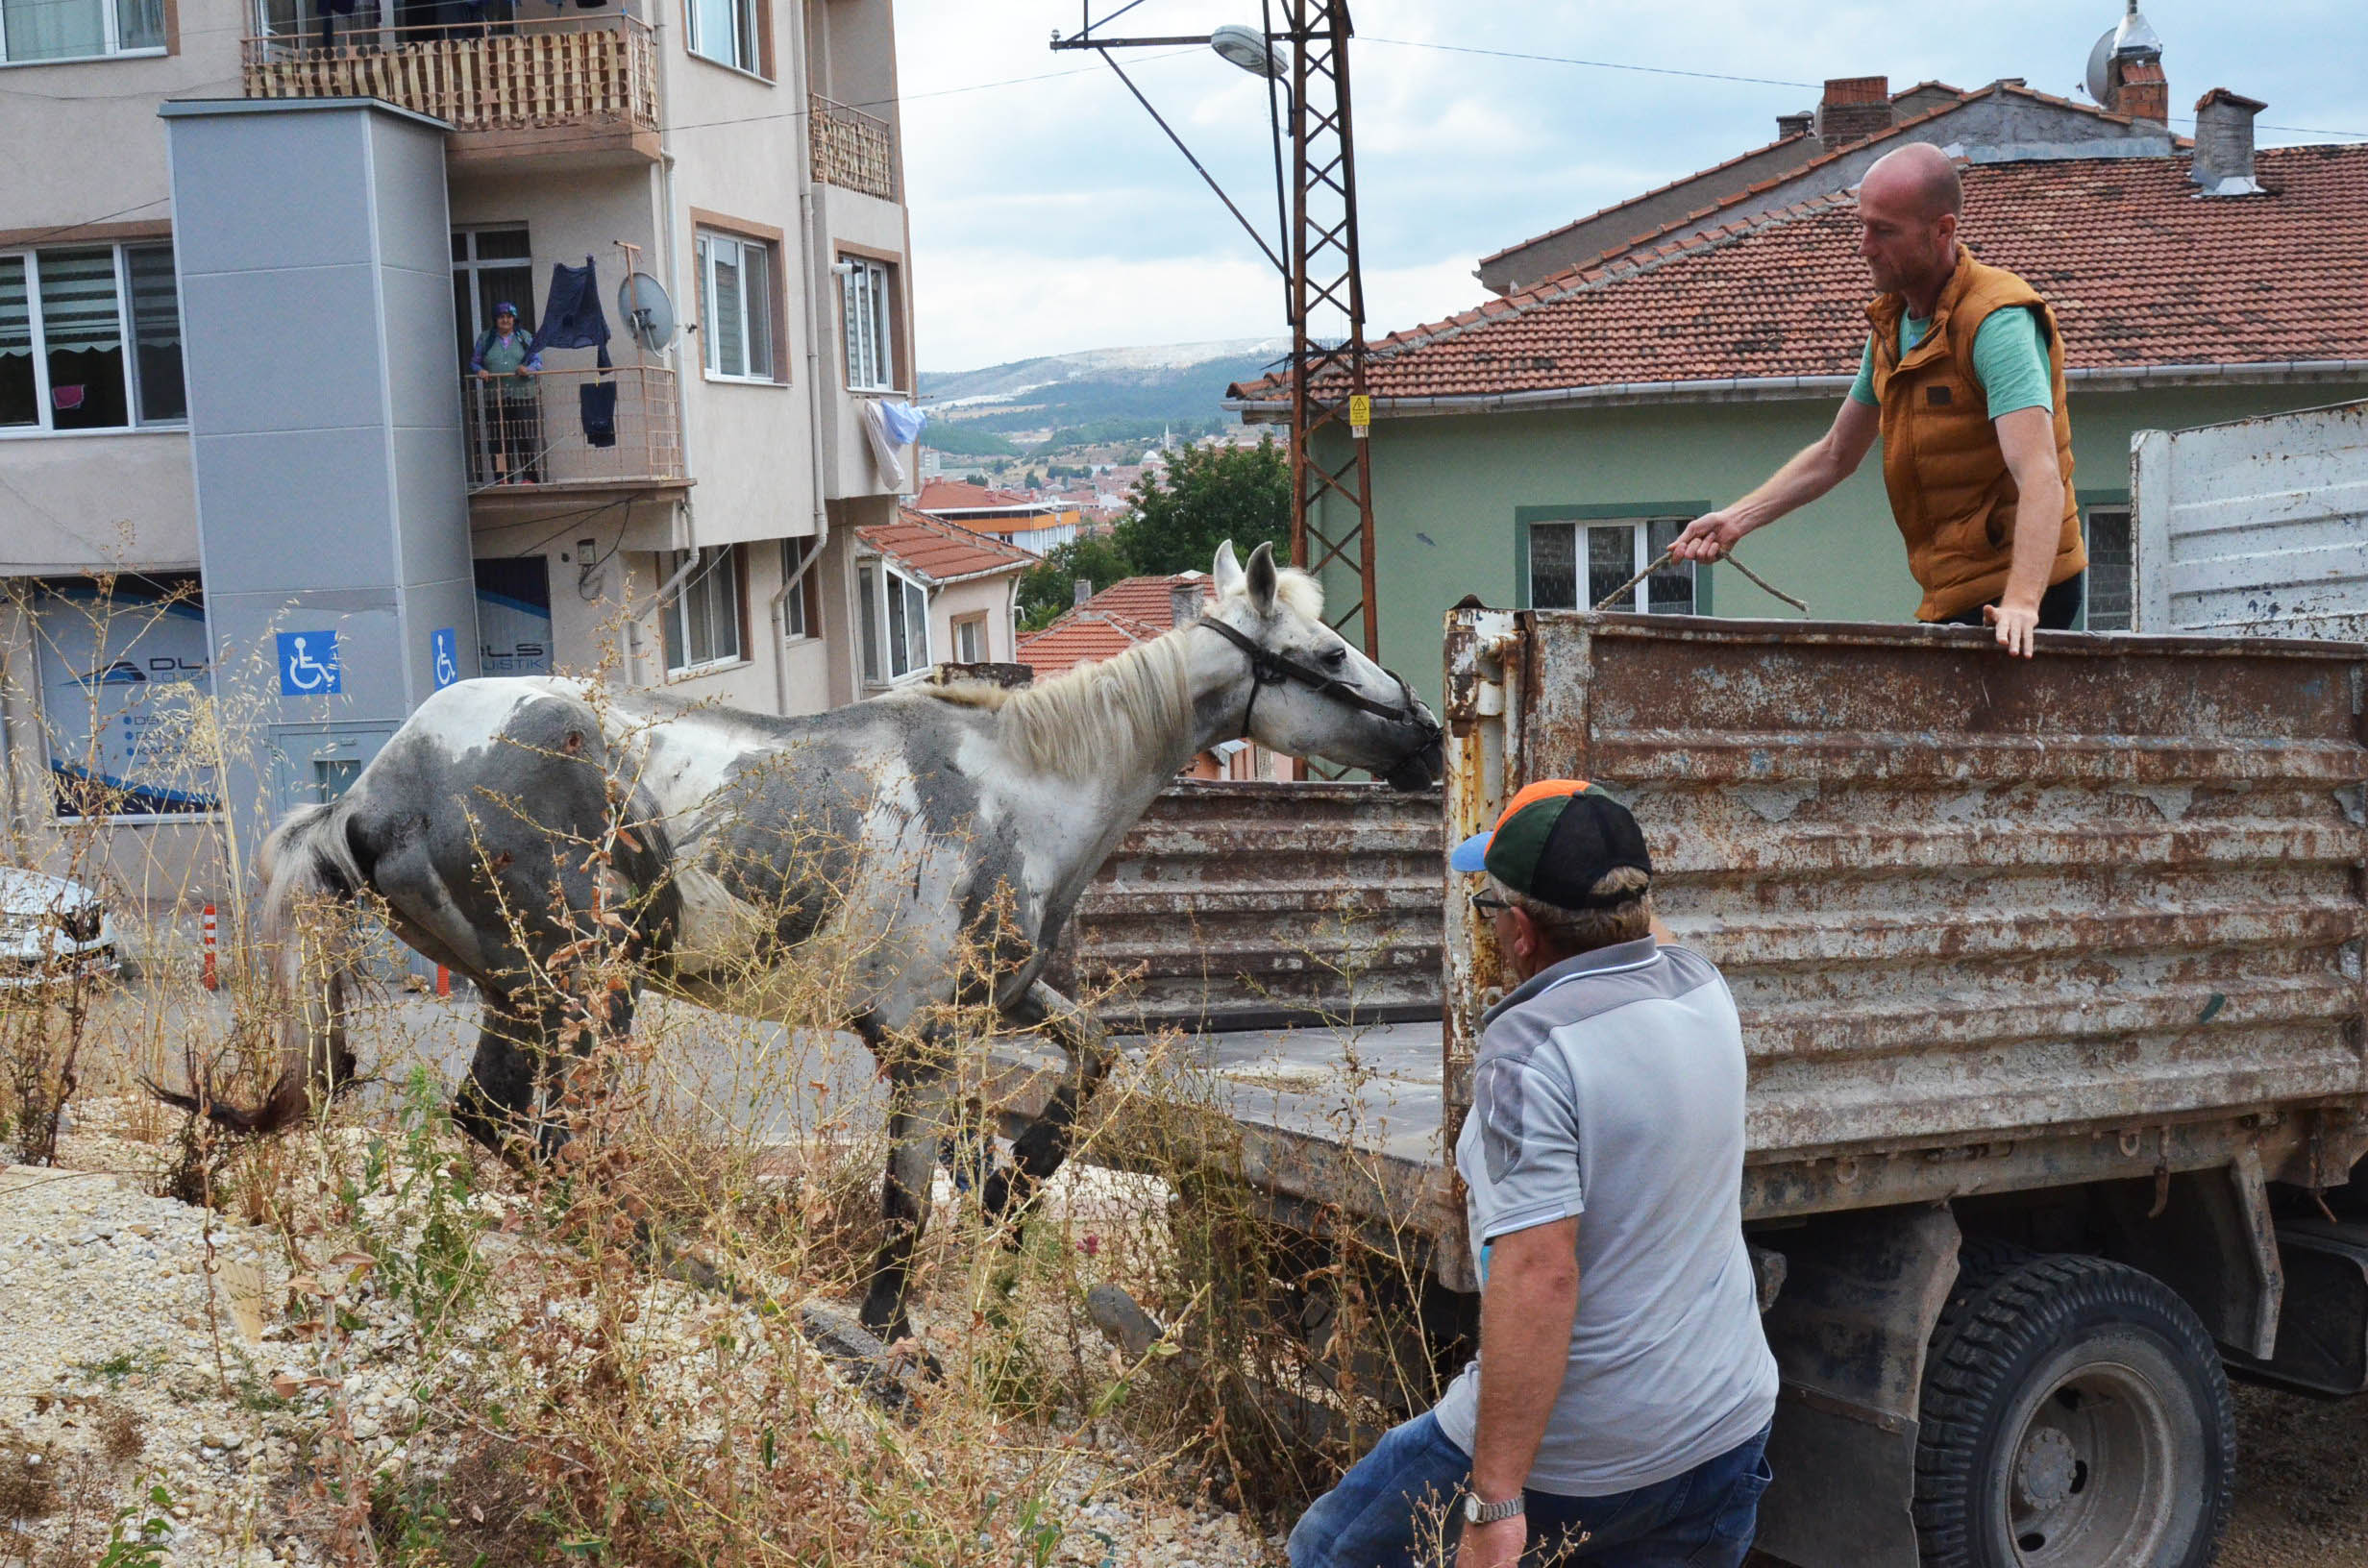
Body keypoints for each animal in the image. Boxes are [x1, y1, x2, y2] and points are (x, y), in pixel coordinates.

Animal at [166, 540, 1440, 1335]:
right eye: (1328, 656)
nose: (1427, 738)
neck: (1015, 790)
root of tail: (369, 793)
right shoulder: (917, 1040)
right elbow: (904, 1206)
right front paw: (889, 1338)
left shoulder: (1000, 1008)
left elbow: (1088, 1071)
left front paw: (1017, 1186)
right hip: (585, 991)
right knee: (548, 1137)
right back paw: (662, 1252)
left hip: (522, 995)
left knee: (494, 1123)